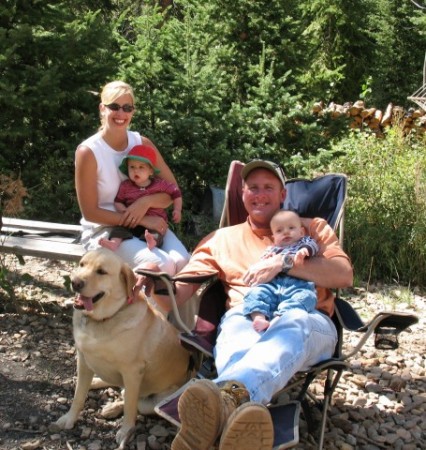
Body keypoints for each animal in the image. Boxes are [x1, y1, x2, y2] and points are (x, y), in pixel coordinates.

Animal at [54, 248, 191, 448]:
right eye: (82, 264)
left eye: (101, 272)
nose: (75, 282)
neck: (102, 320)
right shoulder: (83, 358)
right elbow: (78, 396)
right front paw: (69, 418)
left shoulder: (132, 372)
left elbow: (130, 407)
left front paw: (126, 431)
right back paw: (96, 384)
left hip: (153, 402)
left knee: (132, 399)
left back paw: (112, 406)